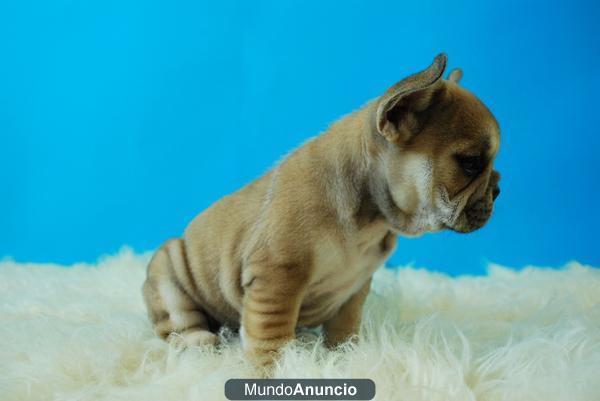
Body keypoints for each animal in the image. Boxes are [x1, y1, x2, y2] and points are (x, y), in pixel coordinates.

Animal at [143, 54, 500, 368]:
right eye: (470, 164)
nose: (498, 188)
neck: (372, 215)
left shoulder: (355, 286)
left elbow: (345, 323)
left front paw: (344, 356)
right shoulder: (277, 276)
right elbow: (270, 337)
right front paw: (274, 369)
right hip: (169, 271)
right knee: (180, 323)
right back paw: (200, 345)